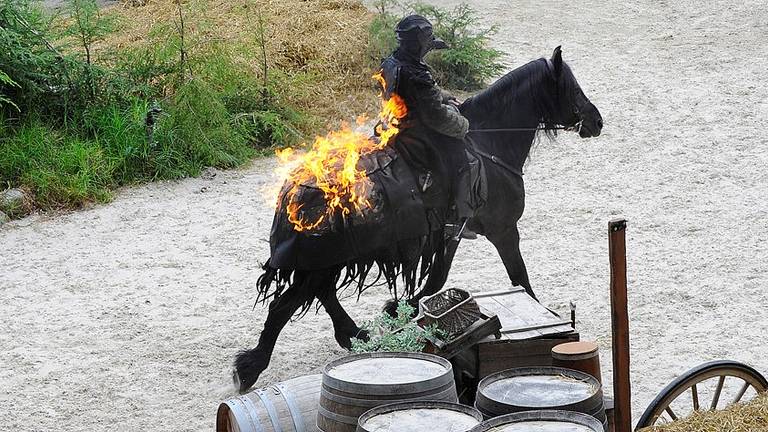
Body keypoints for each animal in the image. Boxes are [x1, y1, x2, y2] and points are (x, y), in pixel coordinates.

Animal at [232, 46, 600, 392]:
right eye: (570, 86)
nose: (596, 121)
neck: (488, 143)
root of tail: (296, 189)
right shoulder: (502, 230)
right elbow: (518, 277)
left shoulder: (451, 232)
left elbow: (437, 279)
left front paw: (398, 310)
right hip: (324, 258)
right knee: (286, 305)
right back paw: (250, 366)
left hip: (326, 259)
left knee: (318, 293)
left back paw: (353, 335)